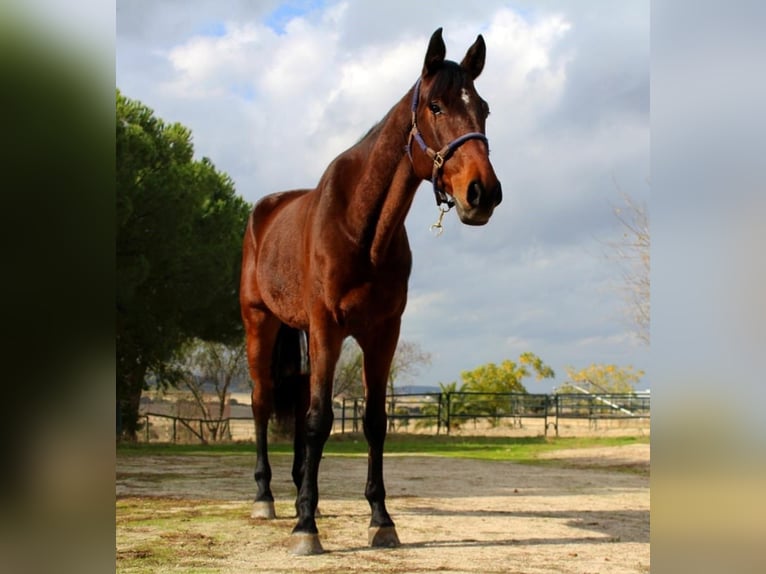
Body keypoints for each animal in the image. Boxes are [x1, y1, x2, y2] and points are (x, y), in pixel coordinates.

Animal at [240, 28, 502, 555]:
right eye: (436, 106)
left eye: (483, 108)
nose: (482, 193)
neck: (361, 229)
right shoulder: (328, 328)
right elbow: (320, 420)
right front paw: (306, 528)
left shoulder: (382, 334)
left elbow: (374, 422)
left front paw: (380, 519)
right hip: (260, 323)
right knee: (261, 403)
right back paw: (266, 499)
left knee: (296, 401)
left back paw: (299, 493)